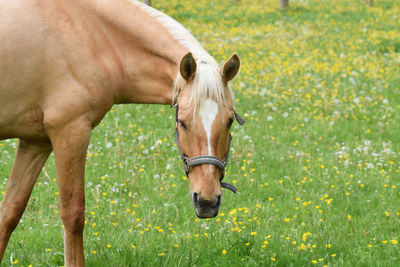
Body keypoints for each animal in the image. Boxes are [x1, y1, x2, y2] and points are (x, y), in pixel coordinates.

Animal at [0, 0, 244, 266]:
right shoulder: (70, 132)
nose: (207, 200)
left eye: (229, 121)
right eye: (182, 122)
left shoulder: (36, 142)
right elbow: (73, 214)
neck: (89, 31)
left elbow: (9, 213)